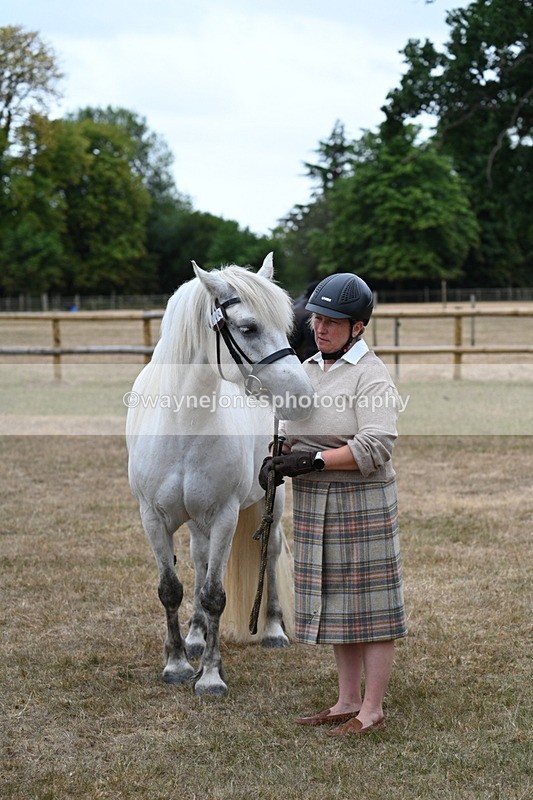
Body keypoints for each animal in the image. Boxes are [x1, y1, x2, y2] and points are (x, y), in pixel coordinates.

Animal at [126, 253, 314, 696]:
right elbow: (171, 589)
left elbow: (215, 594)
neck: (182, 424)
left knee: (272, 551)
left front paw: (210, 676)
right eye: (248, 328)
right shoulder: (152, 518)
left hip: (271, 500)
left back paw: (273, 630)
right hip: (197, 520)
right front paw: (177, 663)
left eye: (287, 327)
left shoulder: (226, 515)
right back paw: (195, 636)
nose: (303, 395)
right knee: (198, 557)